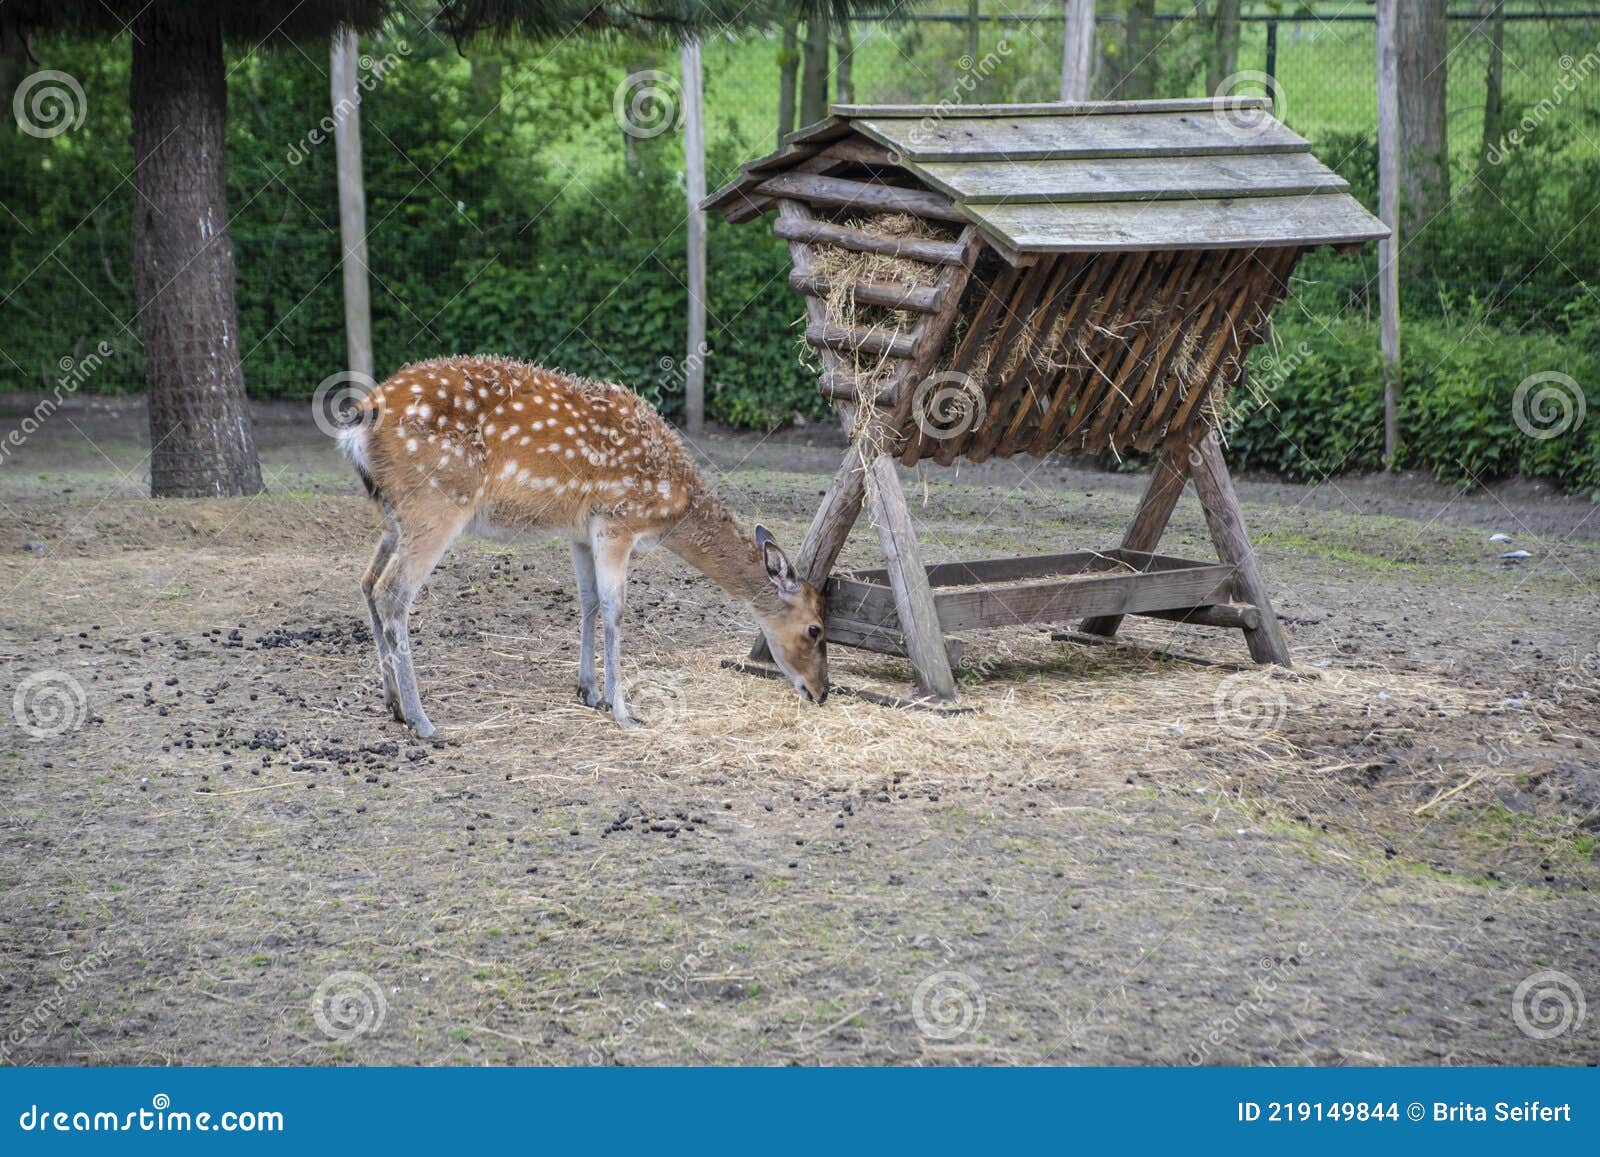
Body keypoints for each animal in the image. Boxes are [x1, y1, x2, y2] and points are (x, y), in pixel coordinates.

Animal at [336, 354, 829, 735]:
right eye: (815, 629)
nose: (822, 692)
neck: (672, 507)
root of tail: (363, 418)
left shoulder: (580, 531)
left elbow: (588, 600)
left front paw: (589, 691)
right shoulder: (617, 522)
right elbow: (615, 609)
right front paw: (624, 711)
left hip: (395, 514)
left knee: (366, 581)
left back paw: (392, 704)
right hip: (437, 503)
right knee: (393, 591)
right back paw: (421, 720)